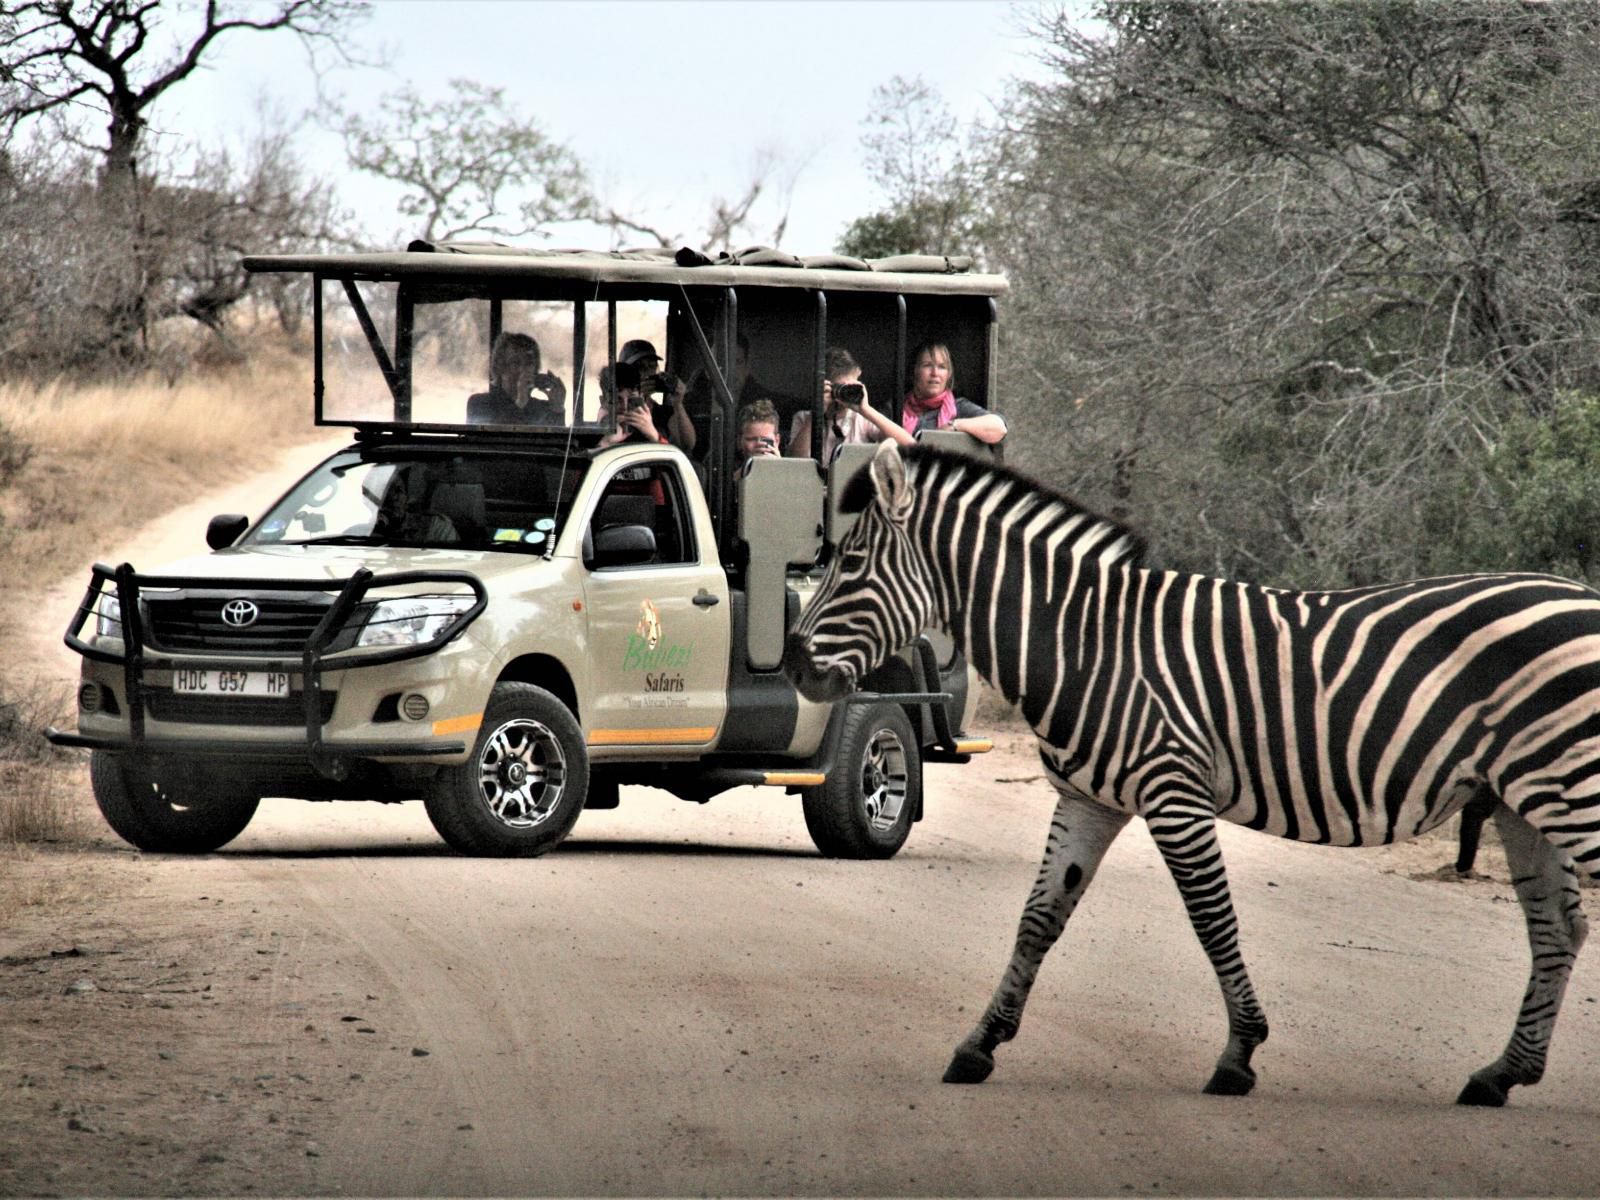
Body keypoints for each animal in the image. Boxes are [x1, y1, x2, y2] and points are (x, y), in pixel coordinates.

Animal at [787, 441, 1600, 1107]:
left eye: (848, 566)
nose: (791, 666)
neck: (1086, 644)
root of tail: (1583, 594)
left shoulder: (1173, 791)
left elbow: (1212, 919)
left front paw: (1239, 1056)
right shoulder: (1087, 799)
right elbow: (1039, 918)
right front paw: (978, 1046)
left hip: (1573, 788)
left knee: (1563, 922)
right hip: (1523, 801)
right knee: (1557, 926)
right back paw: (1501, 1075)